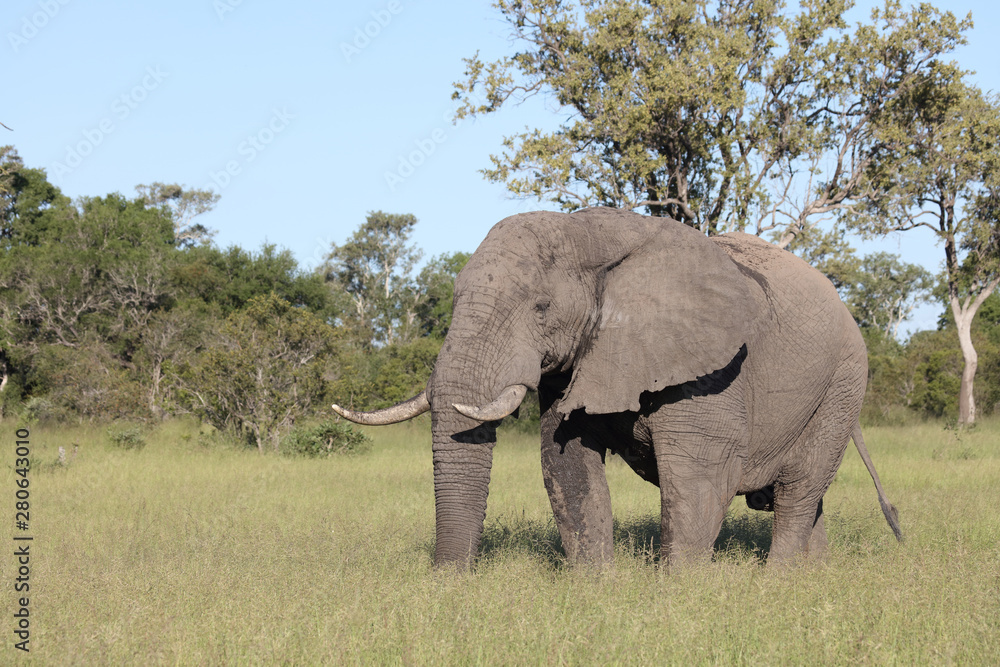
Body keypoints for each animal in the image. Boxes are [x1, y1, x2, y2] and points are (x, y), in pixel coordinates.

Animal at [332, 207, 903, 568]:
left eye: (541, 307)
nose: (447, 582)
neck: (590, 231)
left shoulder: (712, 368)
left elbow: (699, 480)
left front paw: (679, 595)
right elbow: (564, 464)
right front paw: (594, 586)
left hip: (843, 383)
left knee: (799, 491)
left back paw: (778, 582)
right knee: (806, 499)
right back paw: (813, 578)